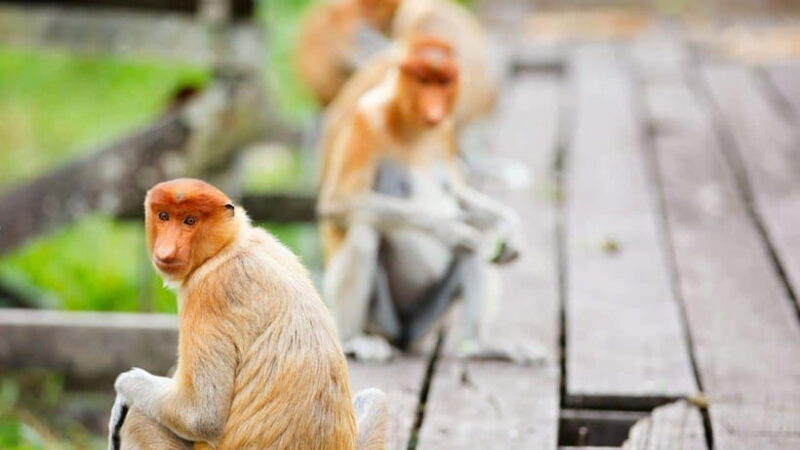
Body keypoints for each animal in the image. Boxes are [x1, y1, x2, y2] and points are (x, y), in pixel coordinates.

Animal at [108, 178, 387, 449]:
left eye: (190, 220)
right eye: (164, 216)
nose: (166, 251)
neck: (229, 245)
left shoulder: (208, 291)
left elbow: (201, 415)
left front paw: (123, 390)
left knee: (139, 418)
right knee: (375, 397)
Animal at [317, 36, 539, 363]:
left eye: (443, 82)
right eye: (423, 81)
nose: (434, 109)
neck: (411, 125)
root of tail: (404, 337)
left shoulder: (445, 132)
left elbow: (460, 194)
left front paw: (510, 229)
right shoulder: (365, 121)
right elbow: (338, 203)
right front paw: (449, 229)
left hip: (428, 321)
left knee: (478, 243)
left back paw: (479, 347)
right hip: (381, 320)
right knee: (364, 231)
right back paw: (356, 340)